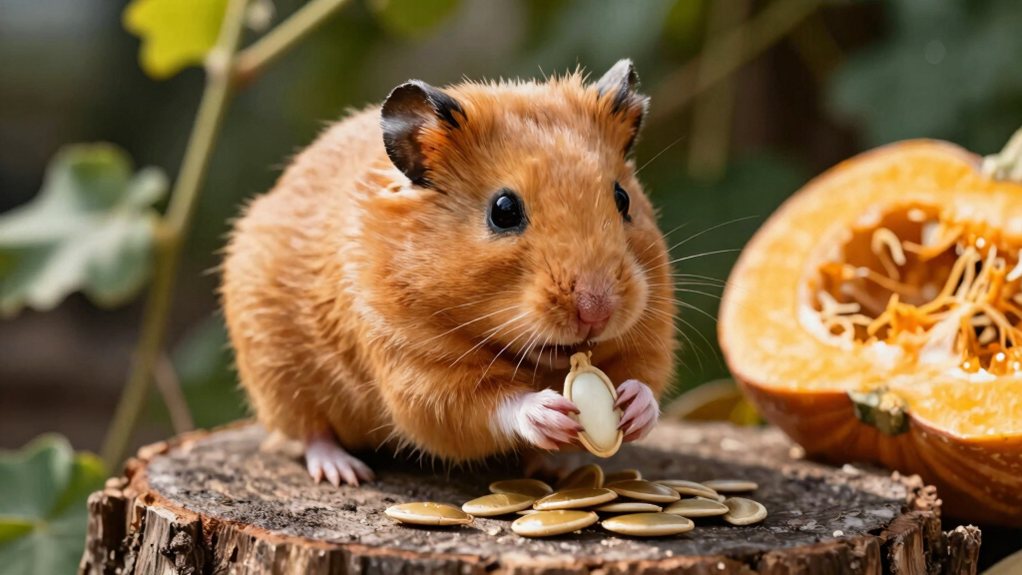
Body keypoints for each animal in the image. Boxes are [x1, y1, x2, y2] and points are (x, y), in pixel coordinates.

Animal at [221, 59, 677, 486]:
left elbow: (645, 377)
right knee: (310, 432)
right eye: (503, 211)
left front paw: (634, 406)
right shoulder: (415, 370)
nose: (596, 312)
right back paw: (344, 472)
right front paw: (546, 413)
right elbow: (483, 405)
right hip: (278, 376)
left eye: (622, 199)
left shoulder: (649, 331)